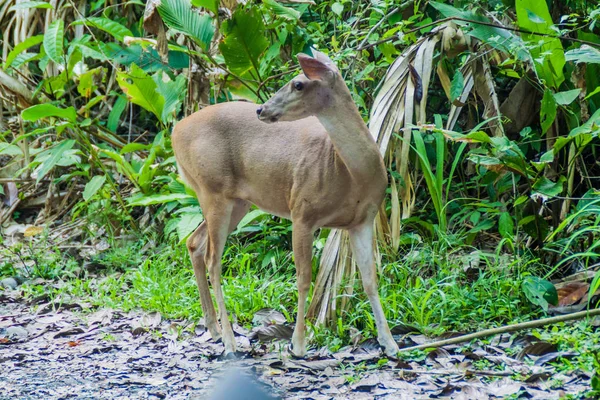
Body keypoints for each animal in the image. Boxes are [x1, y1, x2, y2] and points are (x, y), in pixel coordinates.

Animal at [171, 50, 400, 360]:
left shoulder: (363, 220)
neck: (352, 175)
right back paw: (230, 341)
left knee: (195, 242)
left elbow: (370, 279)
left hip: (236, 201)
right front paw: (298, 344)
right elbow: (304, 277)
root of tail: (175, 131)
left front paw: (390, 343)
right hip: (212, 189)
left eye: (298, 84)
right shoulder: (302, 211)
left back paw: (215, 330)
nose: (261, 109)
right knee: (213, 260)